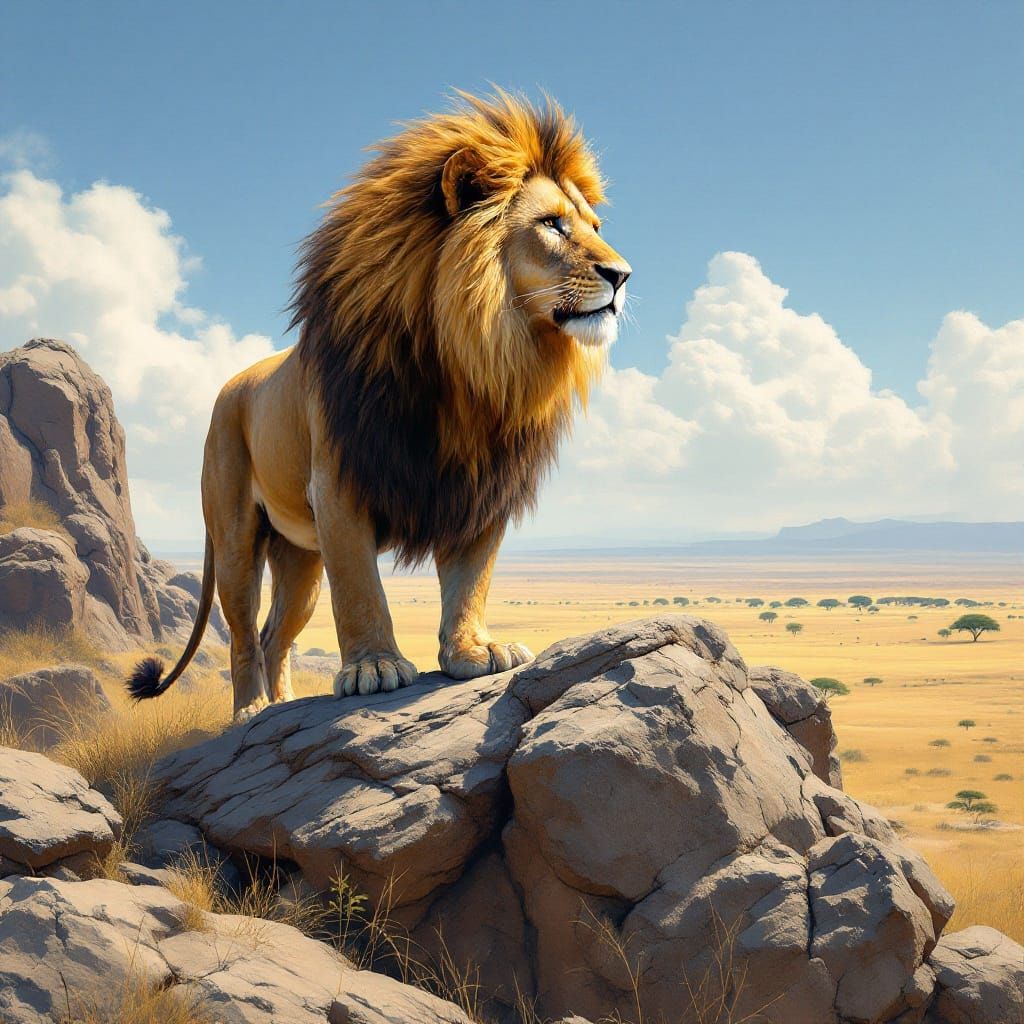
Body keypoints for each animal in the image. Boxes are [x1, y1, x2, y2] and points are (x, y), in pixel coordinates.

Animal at [127, 90, 631, 721]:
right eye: (552, 225)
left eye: (594, 227)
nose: (623, 275)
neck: (474, 363)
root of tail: (230, 386)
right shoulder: (339, 482)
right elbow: (361, 588)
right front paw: (374, 668)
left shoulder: (480, 489)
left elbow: (471, 578)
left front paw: (473, 652)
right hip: (237, 532)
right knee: (244, 633)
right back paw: (253, 711)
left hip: (300, 557)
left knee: (275, 635)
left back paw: (283, 701)